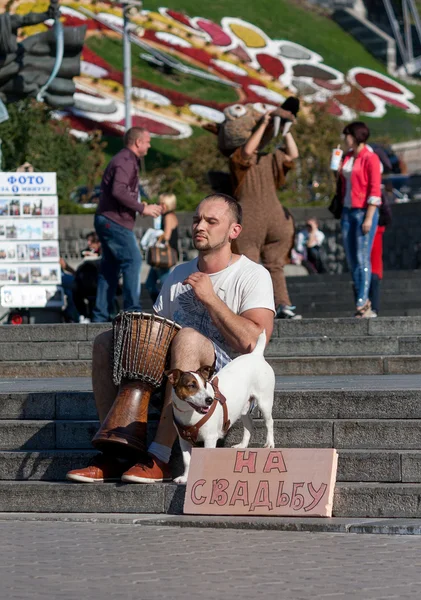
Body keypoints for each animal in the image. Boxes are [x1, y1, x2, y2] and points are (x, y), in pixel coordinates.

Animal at [166, 330, 274, 486]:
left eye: (205, 384)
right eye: (191, 385)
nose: (210, 400)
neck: (190, 414)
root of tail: (256, 354)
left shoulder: (210, 438)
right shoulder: (183, 440)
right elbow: (187, 461)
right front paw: (185, 477)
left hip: (264, 401)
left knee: (269, 422)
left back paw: (270, 443)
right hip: (243, 407)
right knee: (249, 424)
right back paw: (242, 445)